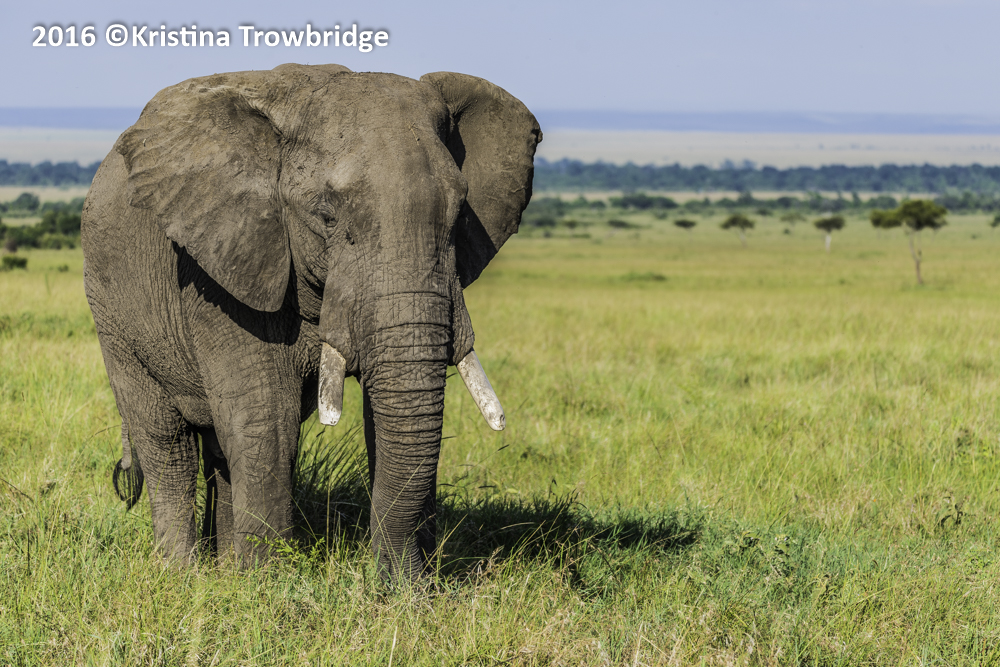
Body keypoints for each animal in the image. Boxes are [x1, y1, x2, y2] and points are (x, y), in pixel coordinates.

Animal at [81, 62, 541, 580]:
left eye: (461, 214)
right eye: (327, 216)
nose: (401, 583)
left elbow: (382, 416)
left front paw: (408, 585)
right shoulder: (221, 269)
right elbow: (267, 419)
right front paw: (267, 585)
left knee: (219, 448)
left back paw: (224, 570)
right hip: (111, 312)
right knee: (166, 440)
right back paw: (185, 574)